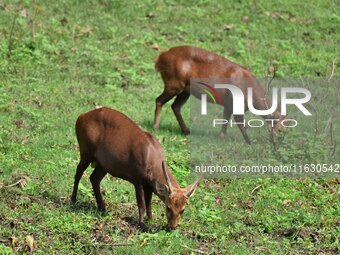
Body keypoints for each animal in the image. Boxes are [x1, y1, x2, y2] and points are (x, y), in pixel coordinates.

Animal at [70, 106, 201, 230]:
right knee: (78, 172)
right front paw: (142, 224)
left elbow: (148, 204)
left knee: (94, 178)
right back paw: (73, 200)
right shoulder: (136, 178)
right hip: (86, 150)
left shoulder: (149, 185)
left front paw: (150, 220)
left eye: (182, 210)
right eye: (168, 207)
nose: (172, 227)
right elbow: (141, 204)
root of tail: (81, 117)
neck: (151, 160)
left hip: (104, 164)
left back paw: (102, 209)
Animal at [153, 45, 282, 143]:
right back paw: (156, 127)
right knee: (159, 100)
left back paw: (186, 130)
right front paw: (250, 143)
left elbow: (226, 120)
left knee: (175, 106)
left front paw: (221, 136)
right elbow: (242, 125)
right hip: (174, 83)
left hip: (186, 89)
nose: (277, 141)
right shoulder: (235, 102)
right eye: (279, 128)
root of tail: (160, 58)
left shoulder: (228, 104)